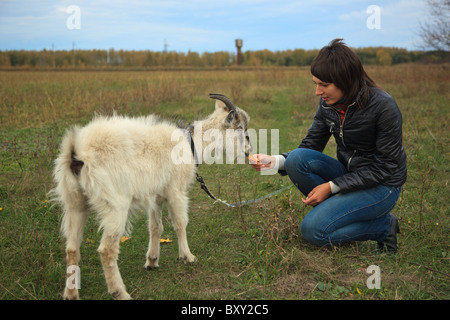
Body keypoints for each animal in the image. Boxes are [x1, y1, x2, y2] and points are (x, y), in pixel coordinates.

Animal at [51, 94, 251, 298]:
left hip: (74, 202)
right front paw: (188, 257)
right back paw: (120, 293)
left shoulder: (156, 195)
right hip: (115, 205)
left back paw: (71, 294)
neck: (191, 144)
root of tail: (77, 153)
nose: (249, 151)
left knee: (72, 249)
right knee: (107, 250)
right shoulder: (176, 190)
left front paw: (152, 261)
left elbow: (156, 227)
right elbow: (180, 223)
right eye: (240, 127)